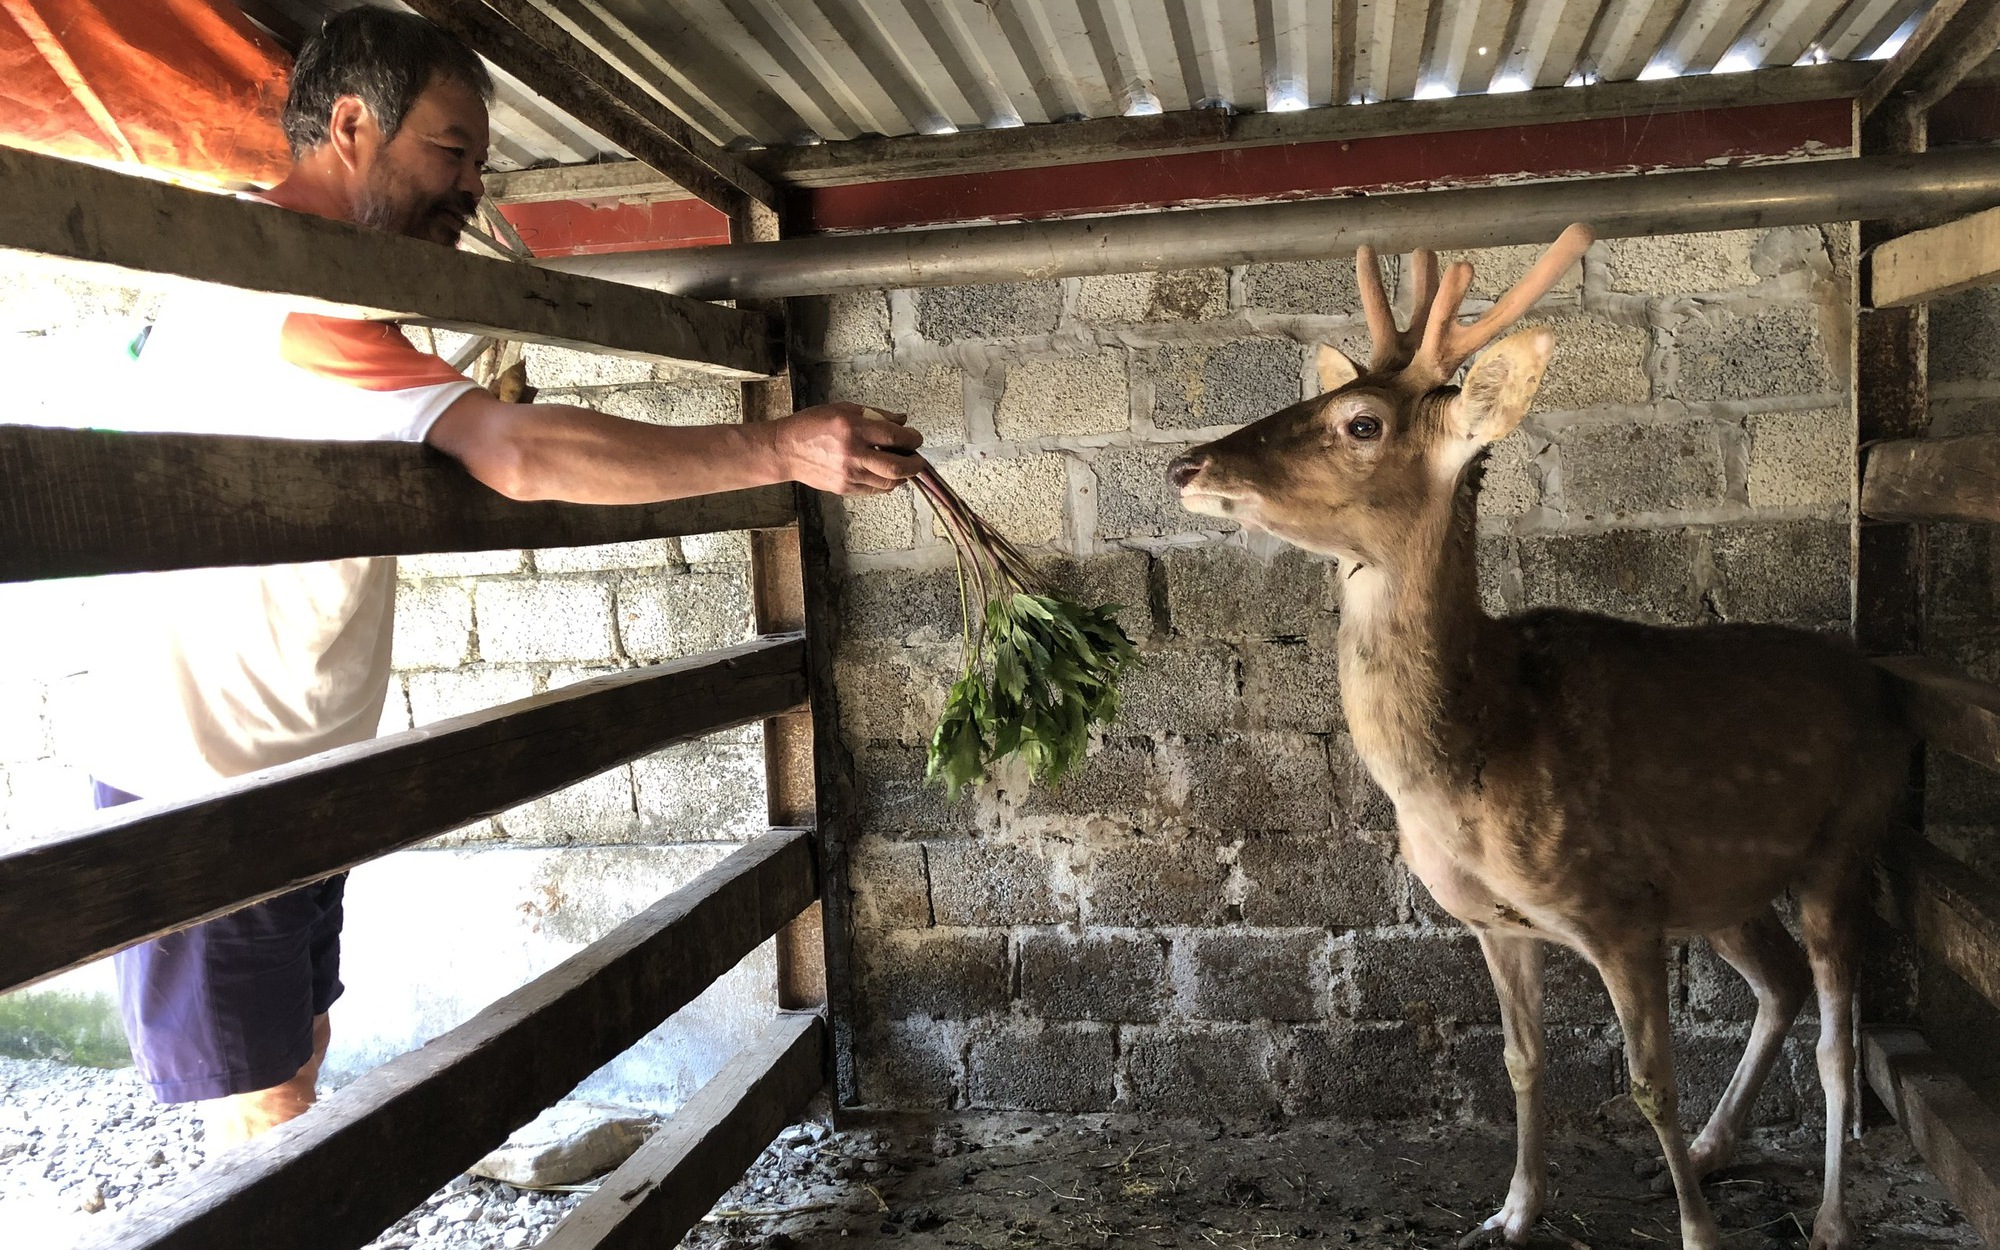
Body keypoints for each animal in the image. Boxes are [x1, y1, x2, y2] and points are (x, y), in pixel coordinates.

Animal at [1168, 227, 1904, 1248]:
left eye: (1361, 422)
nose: (1185, 466)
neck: (1476, 753)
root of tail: (1883, 683)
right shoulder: (1497, 920)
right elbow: (1521, 1062)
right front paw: (1512, 1211)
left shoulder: (1619, 910)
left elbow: (1649, 1083)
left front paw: (1697, 1233)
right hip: (1721, 886)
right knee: (1782, 982)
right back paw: (1717, 1148)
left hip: (1848, 841)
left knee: (1837, 1036)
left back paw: (1829, 1217)